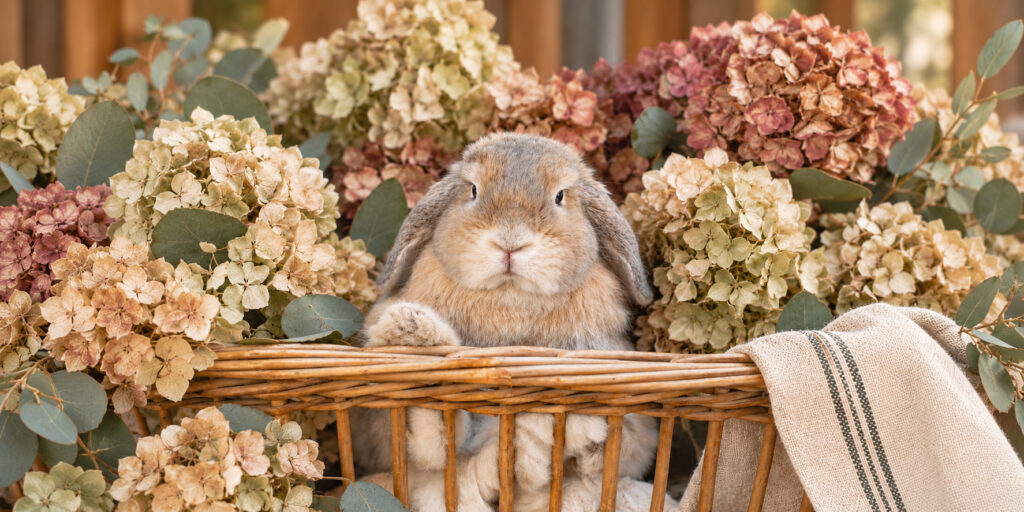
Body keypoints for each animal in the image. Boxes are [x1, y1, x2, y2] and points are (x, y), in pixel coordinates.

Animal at [352, 133, 661, 509]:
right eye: (472, 189)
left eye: (560, 195)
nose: (510, 243)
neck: (510, 298)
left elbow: (622, 445)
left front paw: (590, 442)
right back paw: (412, 331)